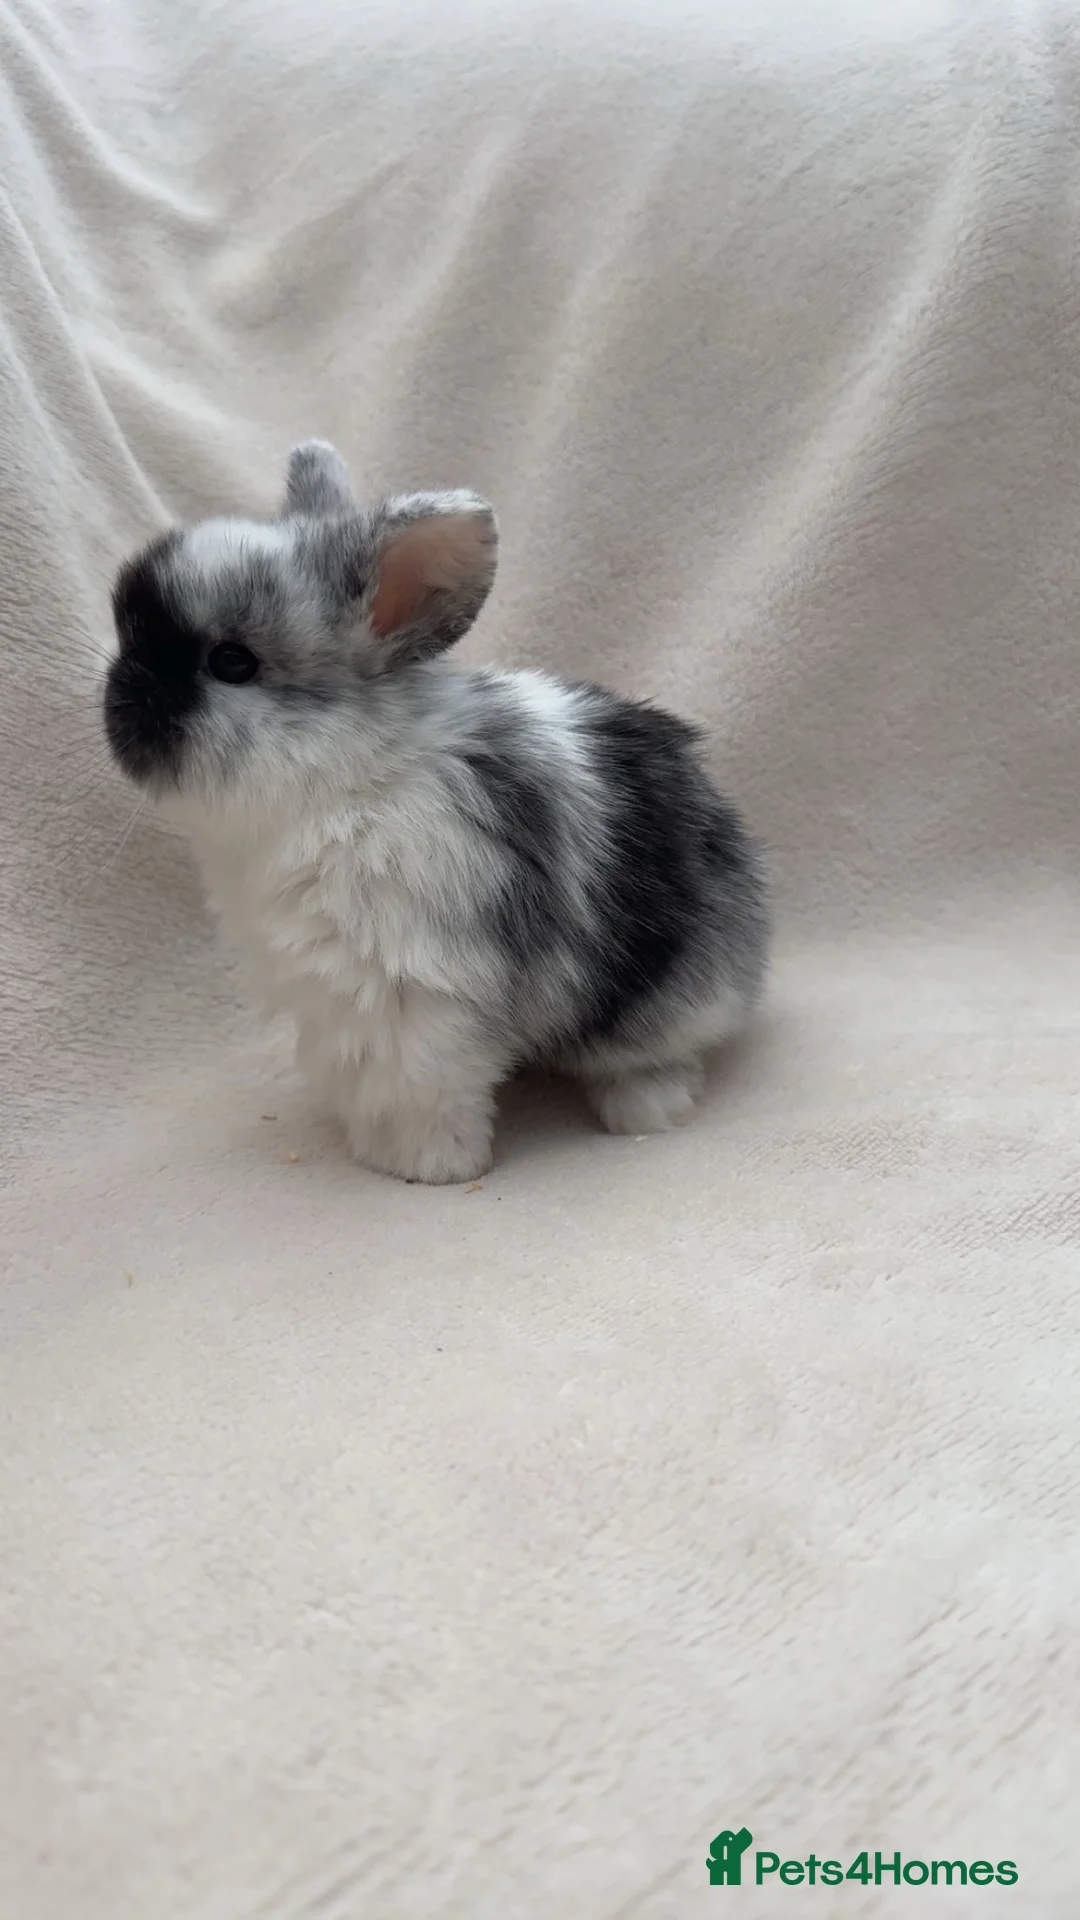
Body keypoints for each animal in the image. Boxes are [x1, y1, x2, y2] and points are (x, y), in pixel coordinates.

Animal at [104, 440, 769, 1184]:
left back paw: (643, 1108)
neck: (351, 782)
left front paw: (427, 1167)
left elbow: (419, 1089)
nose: (120, 699)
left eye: (231, 663)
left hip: (667, 1000)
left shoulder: (410, 993)